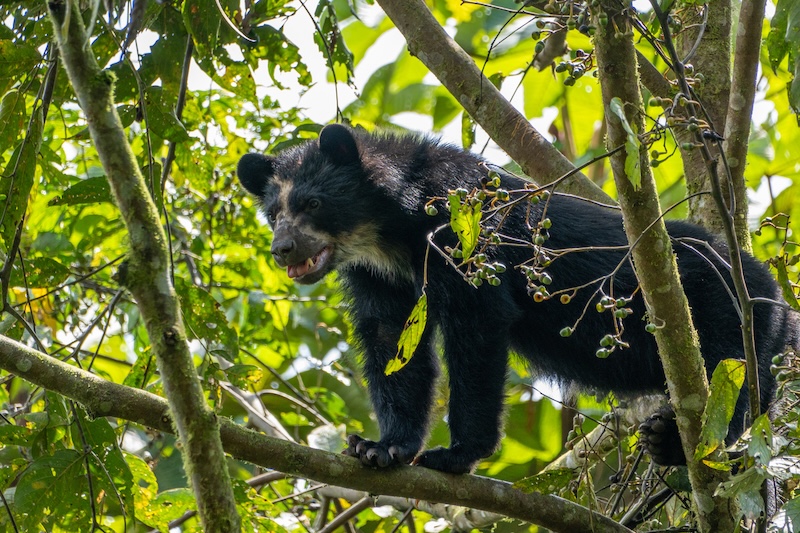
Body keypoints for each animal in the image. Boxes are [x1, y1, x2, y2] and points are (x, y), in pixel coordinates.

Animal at [238, 122, 792, 472]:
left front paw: (455, 455)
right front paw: (380, 449)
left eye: (313, 203)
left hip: (724, 314)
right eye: (273, 213)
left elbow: (477, 328)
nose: (282, 249)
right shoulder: (379, 278)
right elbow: (393, 345)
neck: (391, 232)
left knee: (732, 383)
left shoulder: (464, 233)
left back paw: (674, 443)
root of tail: (779, 299)